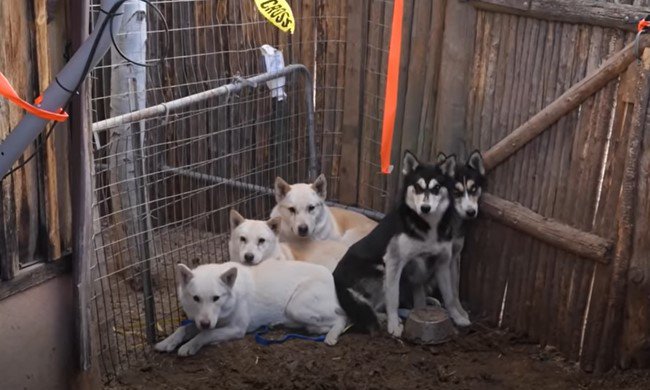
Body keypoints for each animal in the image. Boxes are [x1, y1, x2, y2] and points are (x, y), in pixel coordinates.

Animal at [154, 260, 346, 354]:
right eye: (196, 298)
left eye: (216, 298)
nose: (206, 323)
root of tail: (331, 276)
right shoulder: (204, 321)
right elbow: (183, 329)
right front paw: (167, 342)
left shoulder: (236, 329)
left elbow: (205, 335)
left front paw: (190, 346)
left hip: (296, 306)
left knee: (343, 317)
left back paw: (330, 334)